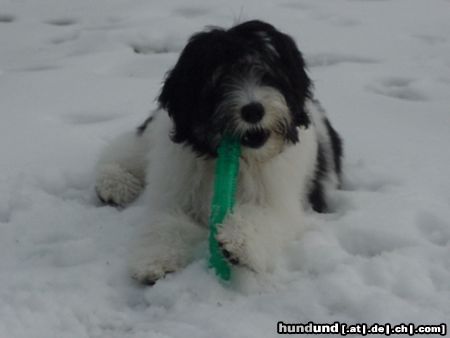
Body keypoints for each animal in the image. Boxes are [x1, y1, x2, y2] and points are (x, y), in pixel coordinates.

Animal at [94, 20, 342, 286]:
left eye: (269, 74)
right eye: (219, 80)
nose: (253, 110)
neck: (240, 160)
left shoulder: (281, 203)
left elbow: (263, 217)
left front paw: (238, 243)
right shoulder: (176, 190)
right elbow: (166, 223)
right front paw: (154, 261)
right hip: (153, 134)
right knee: (126, 148)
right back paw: (114, 183)